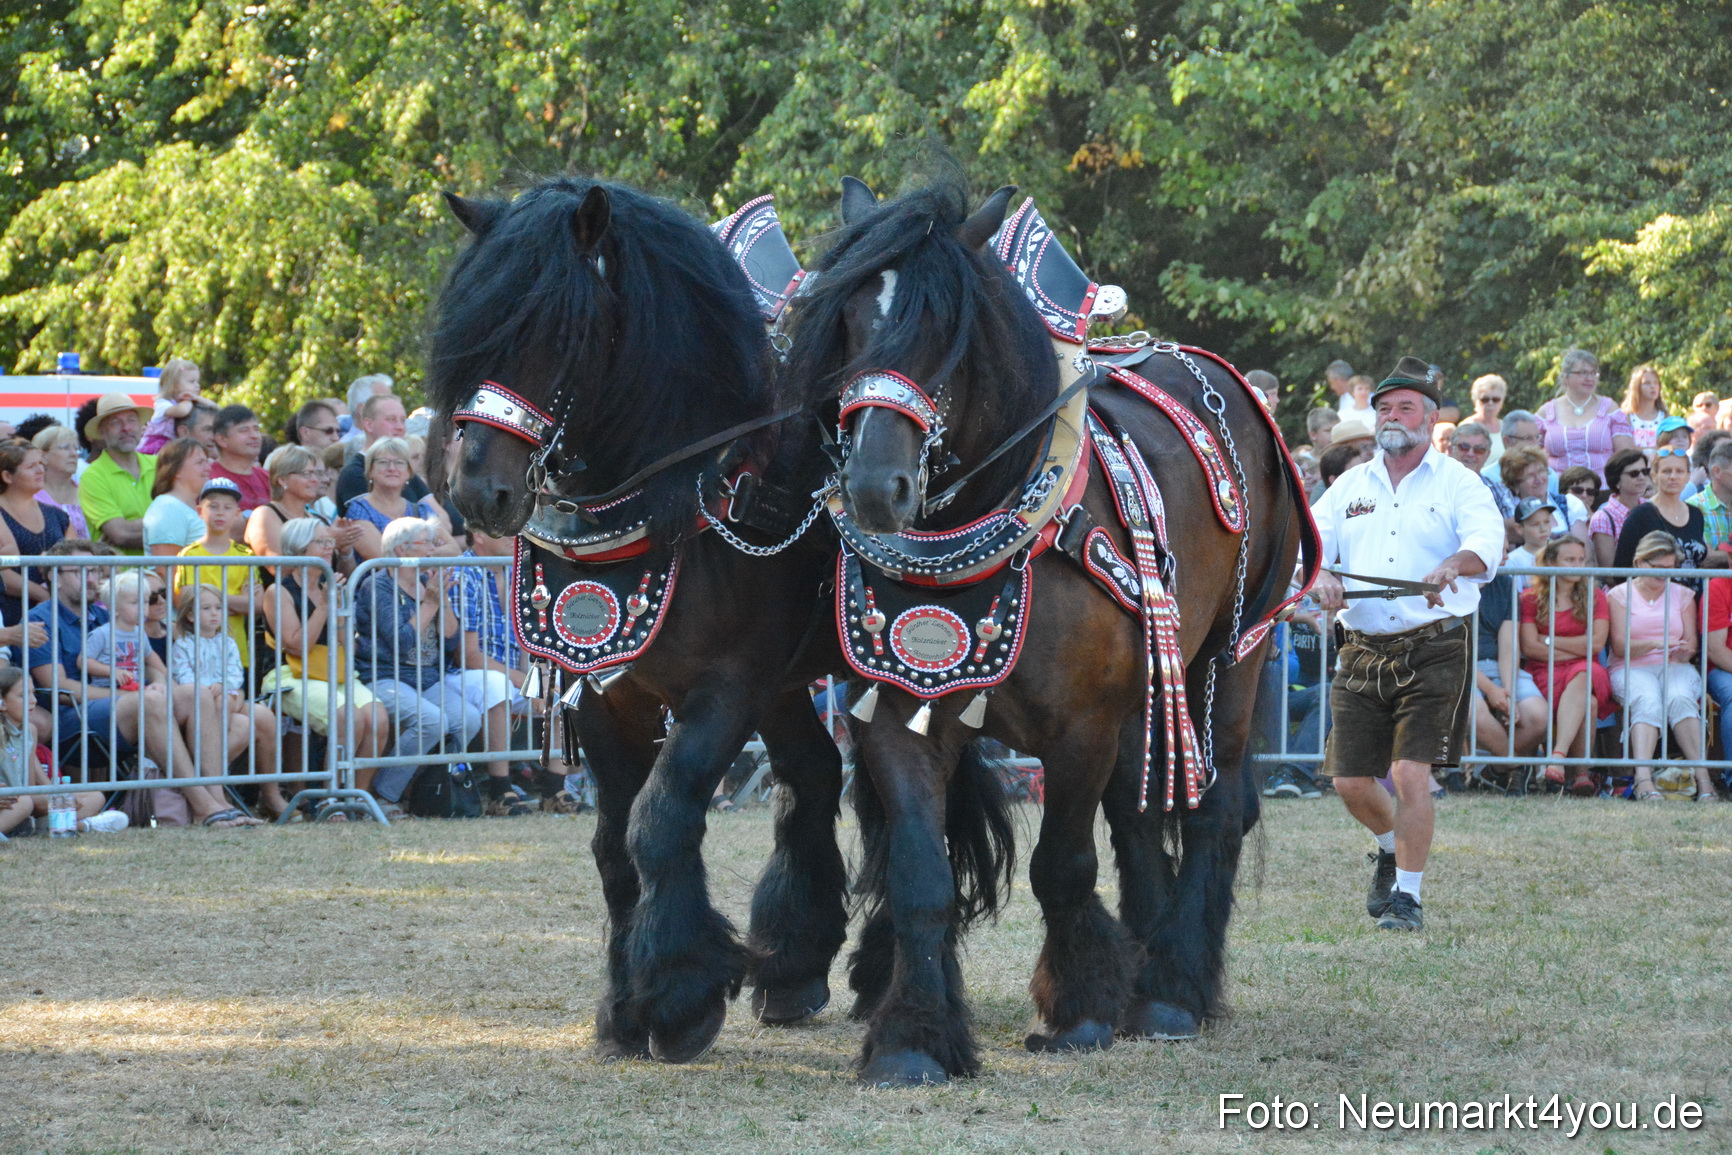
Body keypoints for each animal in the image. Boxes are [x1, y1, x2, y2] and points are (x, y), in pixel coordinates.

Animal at [425, 176, 845, 1064]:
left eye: (559, 328)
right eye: (470, 333)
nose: (478, 490)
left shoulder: (727, 687)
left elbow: (659, 819)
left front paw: (681, 995)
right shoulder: (605, 692)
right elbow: (614, 845)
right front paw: (626, 1005)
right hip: (791, 685)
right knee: (816, 775)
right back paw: (796, 964)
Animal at [783, 174, 1312, 1085]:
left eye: (948, 329)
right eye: (848, 318)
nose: (878, 486)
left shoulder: (1081, 727)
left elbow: (1061, 864)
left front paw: (1081, 1007)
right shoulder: (895, 714)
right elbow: (920, 871)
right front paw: (914, 1036)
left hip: (1232, 657)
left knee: (1214, 810)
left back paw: (1172, 986)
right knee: (1140, 812)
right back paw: (1146, 954)